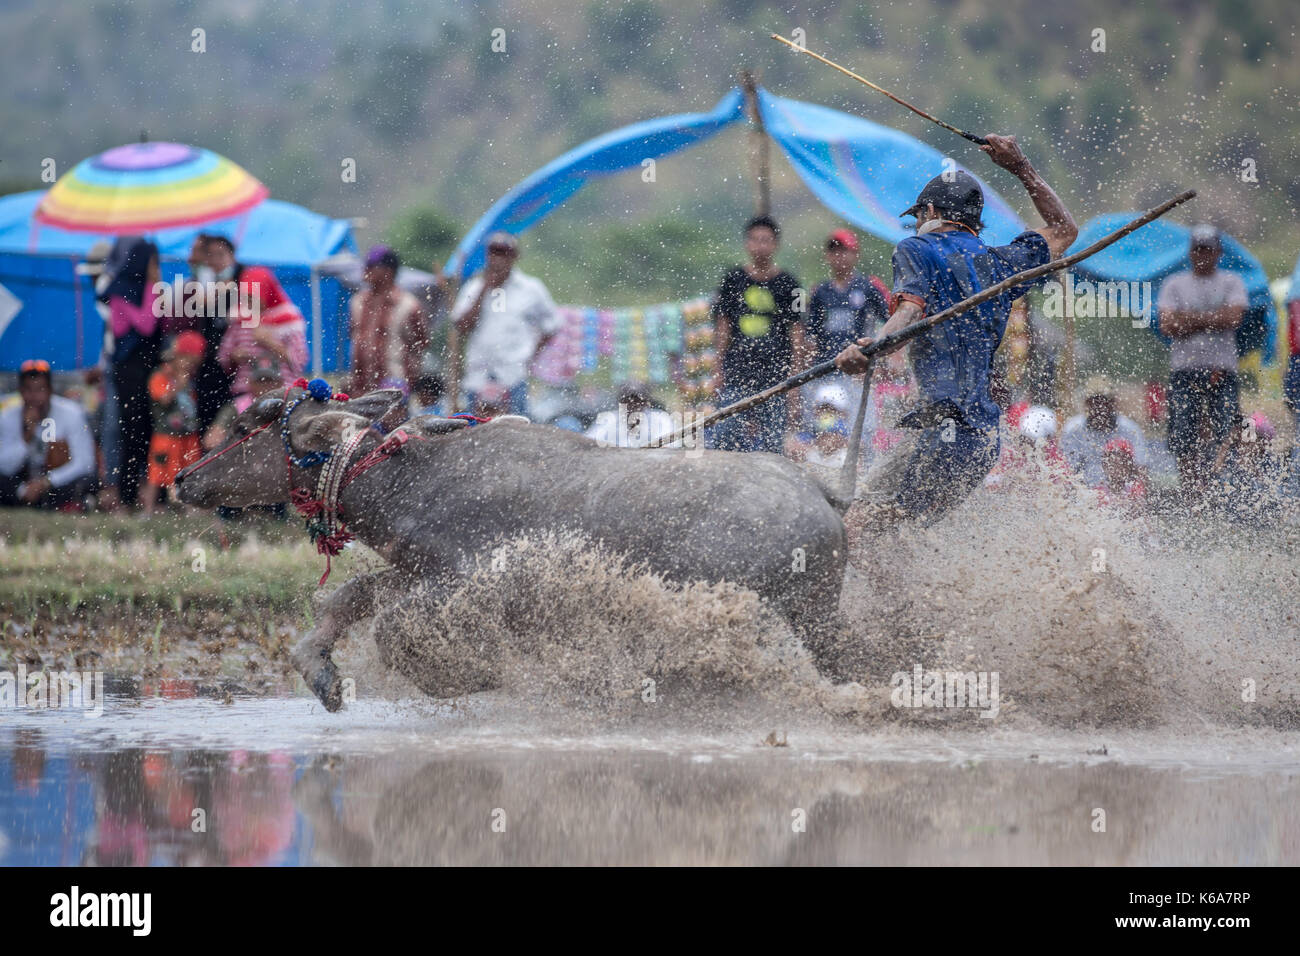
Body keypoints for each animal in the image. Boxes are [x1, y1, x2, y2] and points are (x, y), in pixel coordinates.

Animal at [180, 390, 852, 712]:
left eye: (249, 424)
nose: (183, 479)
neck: (411, 477)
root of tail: (821, 489)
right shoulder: (416, 572)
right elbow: (349, 597)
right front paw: (320, 671)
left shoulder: (469, 582)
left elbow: (394, 630)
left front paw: (474, 676)